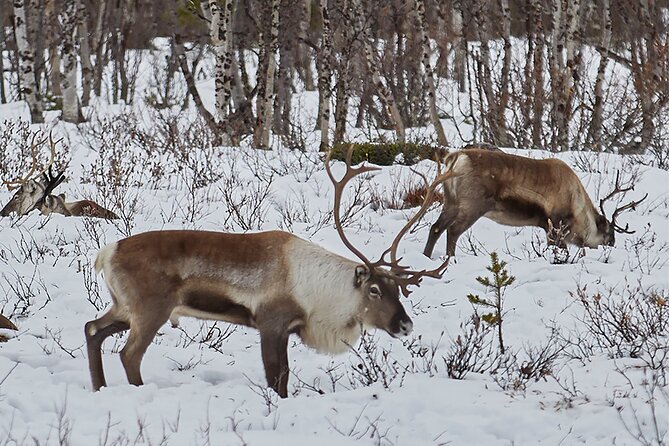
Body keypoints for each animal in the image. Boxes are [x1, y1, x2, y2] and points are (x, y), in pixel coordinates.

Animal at [85, 148, 456, 398]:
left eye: (398, 289)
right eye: (375, 290)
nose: (404, 325)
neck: (319, 296)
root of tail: (106, 253)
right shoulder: (271, 322)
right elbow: (278, 376)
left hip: (124, 307)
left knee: (93, 329)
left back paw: (99, 388)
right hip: (150, 309)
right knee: (129, 354)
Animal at [423, 148, 648, 258]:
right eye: (609, 233)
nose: (612, 246)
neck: (578, 206)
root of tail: (456, 157)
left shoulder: (547, 226)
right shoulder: (557, 224)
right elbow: (560, 249)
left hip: (451, 203)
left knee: (436, 228)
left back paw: (426, 257)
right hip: (473, 206)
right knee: (453, 231)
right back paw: (450, 260)